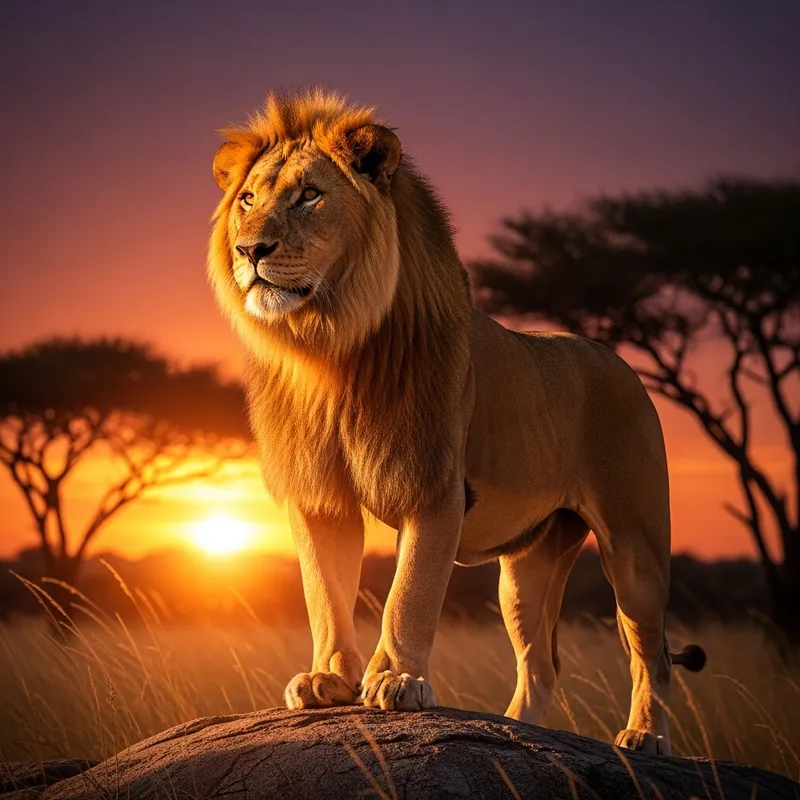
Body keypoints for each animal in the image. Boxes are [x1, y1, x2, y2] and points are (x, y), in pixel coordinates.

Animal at [207, 89, 706, 755]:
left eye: (309, 195)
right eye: (248, 200)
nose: (249, 250)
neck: (330, 348)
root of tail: (619, 361)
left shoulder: (434, 486)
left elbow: (409, 593)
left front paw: (395, 681)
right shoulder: (319, 496)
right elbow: (324, 592)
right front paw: (327, 681)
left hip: (635, 545)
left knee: (651, 652)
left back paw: (645, 737)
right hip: (527, 569)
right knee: (541, 664)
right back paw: (516, 733)